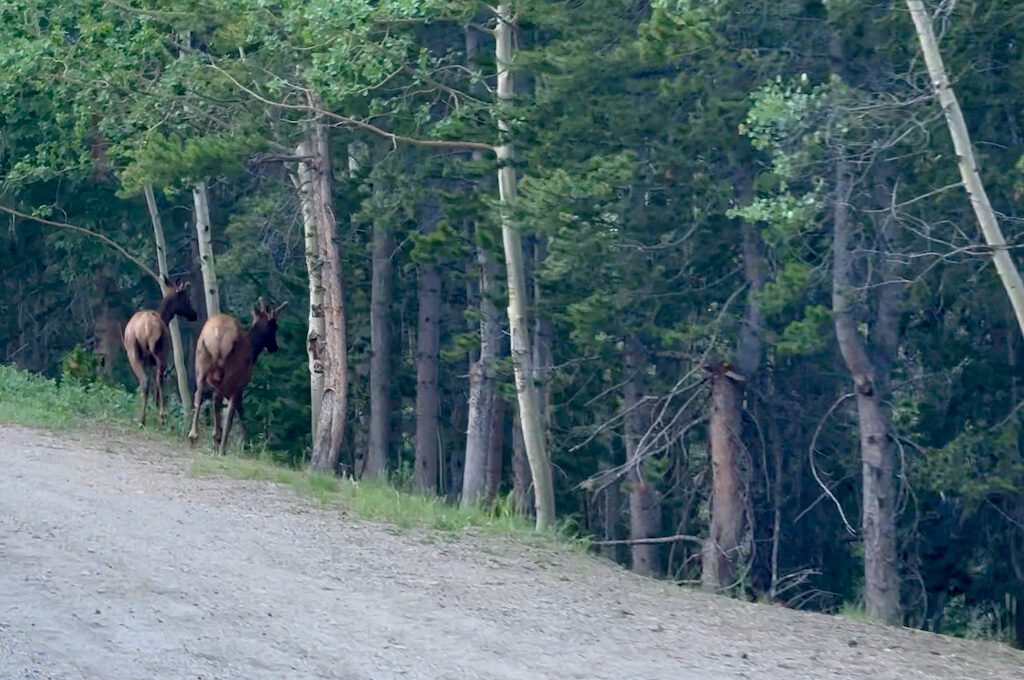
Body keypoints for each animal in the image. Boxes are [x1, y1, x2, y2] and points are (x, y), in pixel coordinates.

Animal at [121, 276, 197, 426]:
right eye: (186, 298)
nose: (194, 314)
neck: (164, 317)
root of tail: (144, 328)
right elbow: (158, 382)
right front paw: (160, 412)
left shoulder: (148, 362)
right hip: (161, 352)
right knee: (158, 379)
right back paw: (161, 415)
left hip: (133, 353)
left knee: (144, 381)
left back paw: (141, 418)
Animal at [185, 296, 286, 450]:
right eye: (275, 327)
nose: (275, 347)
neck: (252, 351)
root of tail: (218, 333)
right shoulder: (240, 384)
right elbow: (239, 410)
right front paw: (245, 443)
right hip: (228, 371)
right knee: (220, 403)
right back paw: (219, 442)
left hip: (201, 359)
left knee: (199, 394)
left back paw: (193, 435)